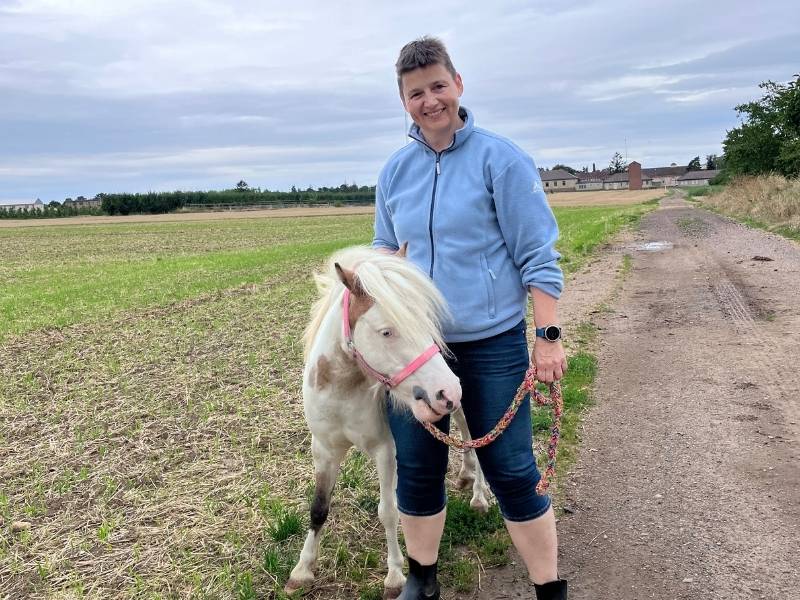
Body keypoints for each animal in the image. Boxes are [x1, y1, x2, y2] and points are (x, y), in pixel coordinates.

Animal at [285, 246, 489, 598]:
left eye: (425, 321)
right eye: (387, 331)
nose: (446, 390)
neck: (343, 391)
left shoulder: (385, 450)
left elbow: (389, 511)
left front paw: (394, 575)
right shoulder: (323, 450)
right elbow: (319, 507)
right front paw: (302, 569)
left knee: (472, 433)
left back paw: (479, 494)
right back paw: (465, 476)